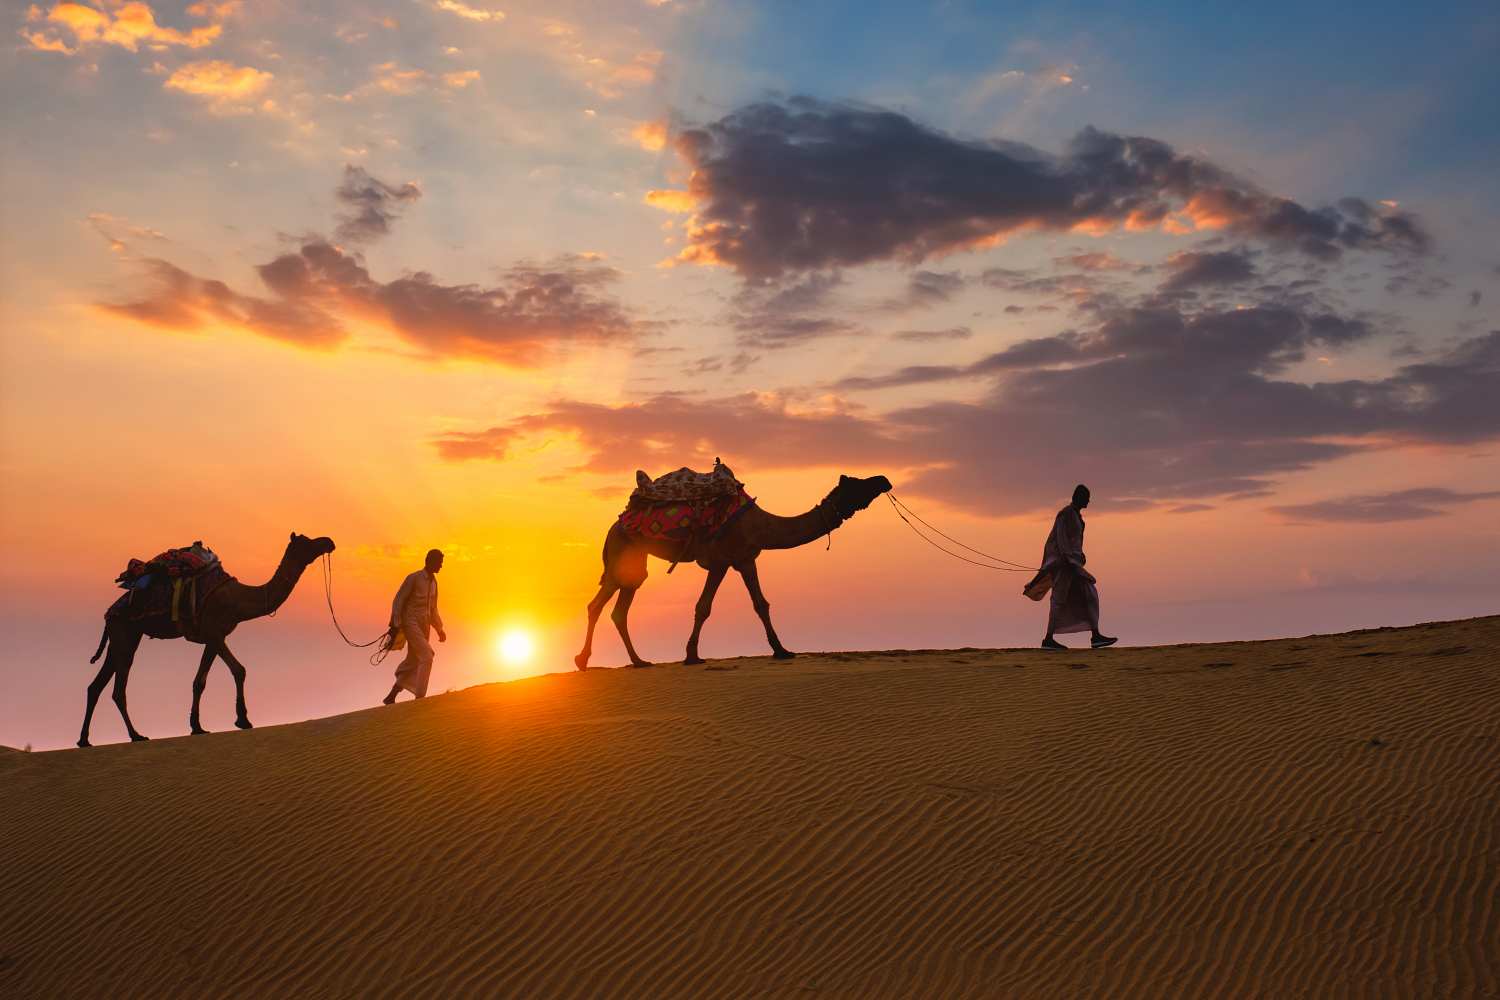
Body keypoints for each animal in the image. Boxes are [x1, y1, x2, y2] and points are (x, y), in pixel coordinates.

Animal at [78, 532, 336, 748]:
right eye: (307, 541)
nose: (328, 541)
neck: (238, 599)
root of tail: (109, 612)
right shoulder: (214, 633)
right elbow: (239, 670)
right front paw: (243, 720)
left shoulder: (212, 638)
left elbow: (199, 681)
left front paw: (197, 727)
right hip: (124, 631)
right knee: (118, 689)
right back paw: (136, 735)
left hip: (124, 636)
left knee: (96, 685)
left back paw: (85, 740)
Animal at [575, 474, 892, 669]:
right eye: (858, 484)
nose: (884, 480)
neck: (761, 525)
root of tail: (617, 523)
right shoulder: (720, 561)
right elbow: (703, 607)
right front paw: (692, 656)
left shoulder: (745, 559)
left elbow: (761, 604)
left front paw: (782, 650)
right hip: (622, 550)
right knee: (599, 605)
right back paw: (585, 660)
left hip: (633, 559)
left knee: (618, 607)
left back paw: (637, 661)